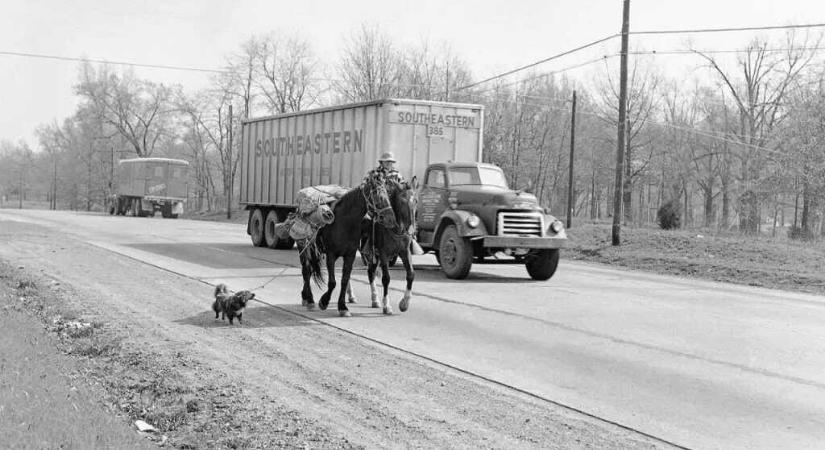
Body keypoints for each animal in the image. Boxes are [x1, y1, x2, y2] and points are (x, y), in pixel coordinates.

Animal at [300, 183, 396, 316]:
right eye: (378, 197)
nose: (391, 219)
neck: (345, 221)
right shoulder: (331, 254)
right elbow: (332, 282)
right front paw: (324, 302)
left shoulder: (350, 255)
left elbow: (344, 280)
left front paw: (343, 307)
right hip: (304, 248)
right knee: (306, 271)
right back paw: (309, 299)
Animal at [360, 181, 416, 314]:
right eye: (402, 201)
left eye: (416, 200)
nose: (412, 228)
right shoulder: (383, 253)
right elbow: (386, 278)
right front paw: (387, 306)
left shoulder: (405, 251)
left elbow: (410, 274)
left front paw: (404, 303)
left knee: (371, 272)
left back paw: (375, 299)